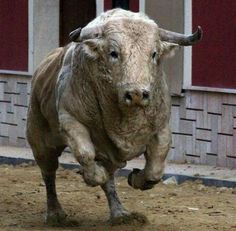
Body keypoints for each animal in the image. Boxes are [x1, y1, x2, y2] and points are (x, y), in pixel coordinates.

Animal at [26, 8, 202, 224]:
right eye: (113, 53)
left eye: (153, 54)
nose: (137, 93)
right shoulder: (71, 120)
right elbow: (86, 155)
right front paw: (91, 174)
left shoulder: (161, 128)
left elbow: (155, 169)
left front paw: (137, 178)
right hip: (40, 139)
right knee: (49, 173)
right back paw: (55, 214)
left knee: (109, 180)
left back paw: (120, 213)